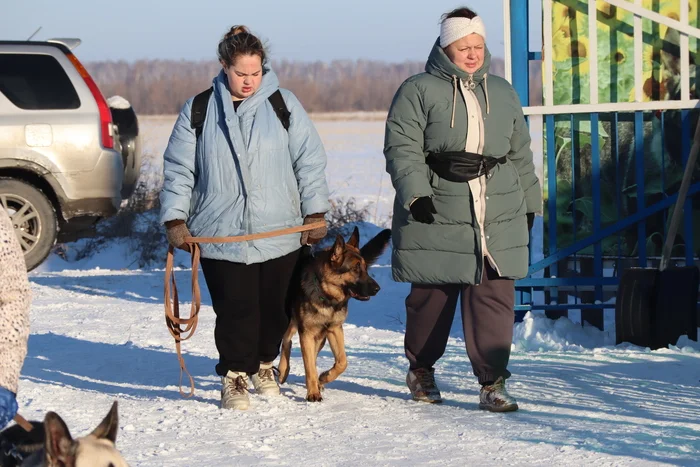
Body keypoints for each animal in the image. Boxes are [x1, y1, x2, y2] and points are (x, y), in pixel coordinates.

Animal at [278, 227, 392, 402]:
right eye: (355, 268)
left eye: (365, 268)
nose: (377, 289)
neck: (326, 295)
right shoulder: (307, 334)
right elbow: (309, 367)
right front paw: (313, 393)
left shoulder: (335, 329)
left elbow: (342, 362)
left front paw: (324, 377)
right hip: (293, 323)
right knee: (287, 339)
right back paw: (283, 370)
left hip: (320, 336)